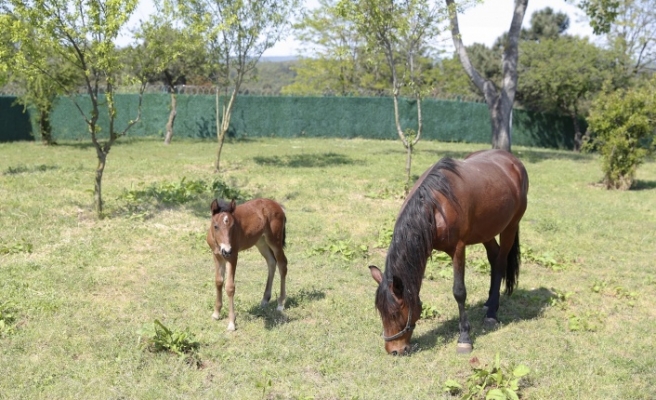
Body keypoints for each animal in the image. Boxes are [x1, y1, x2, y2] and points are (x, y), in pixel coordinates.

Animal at [205, 198, 288, 332]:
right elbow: (218, 282)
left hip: (275, 240)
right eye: (215, 226)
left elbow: (230, 287)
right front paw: (216, 314)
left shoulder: (233, 257)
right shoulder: (217, 256)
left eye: (232, 226)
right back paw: (265, 300)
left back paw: (280, 304)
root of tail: (277, 205)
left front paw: (231, 323)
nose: (226, 250)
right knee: (271, 262)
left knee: (282, 264)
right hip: (261, 242)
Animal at [368, 150, 528, 356]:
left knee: (500, 262)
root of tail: (512, 160)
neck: (434, 206)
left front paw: (464, 338)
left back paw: (492, 313)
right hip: (486, 230)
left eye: (395, 313)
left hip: (510, 226)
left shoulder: (458, 249)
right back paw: (489, 303)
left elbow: (459, 292)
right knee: (494, 258)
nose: (394, 350)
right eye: (381, 312)